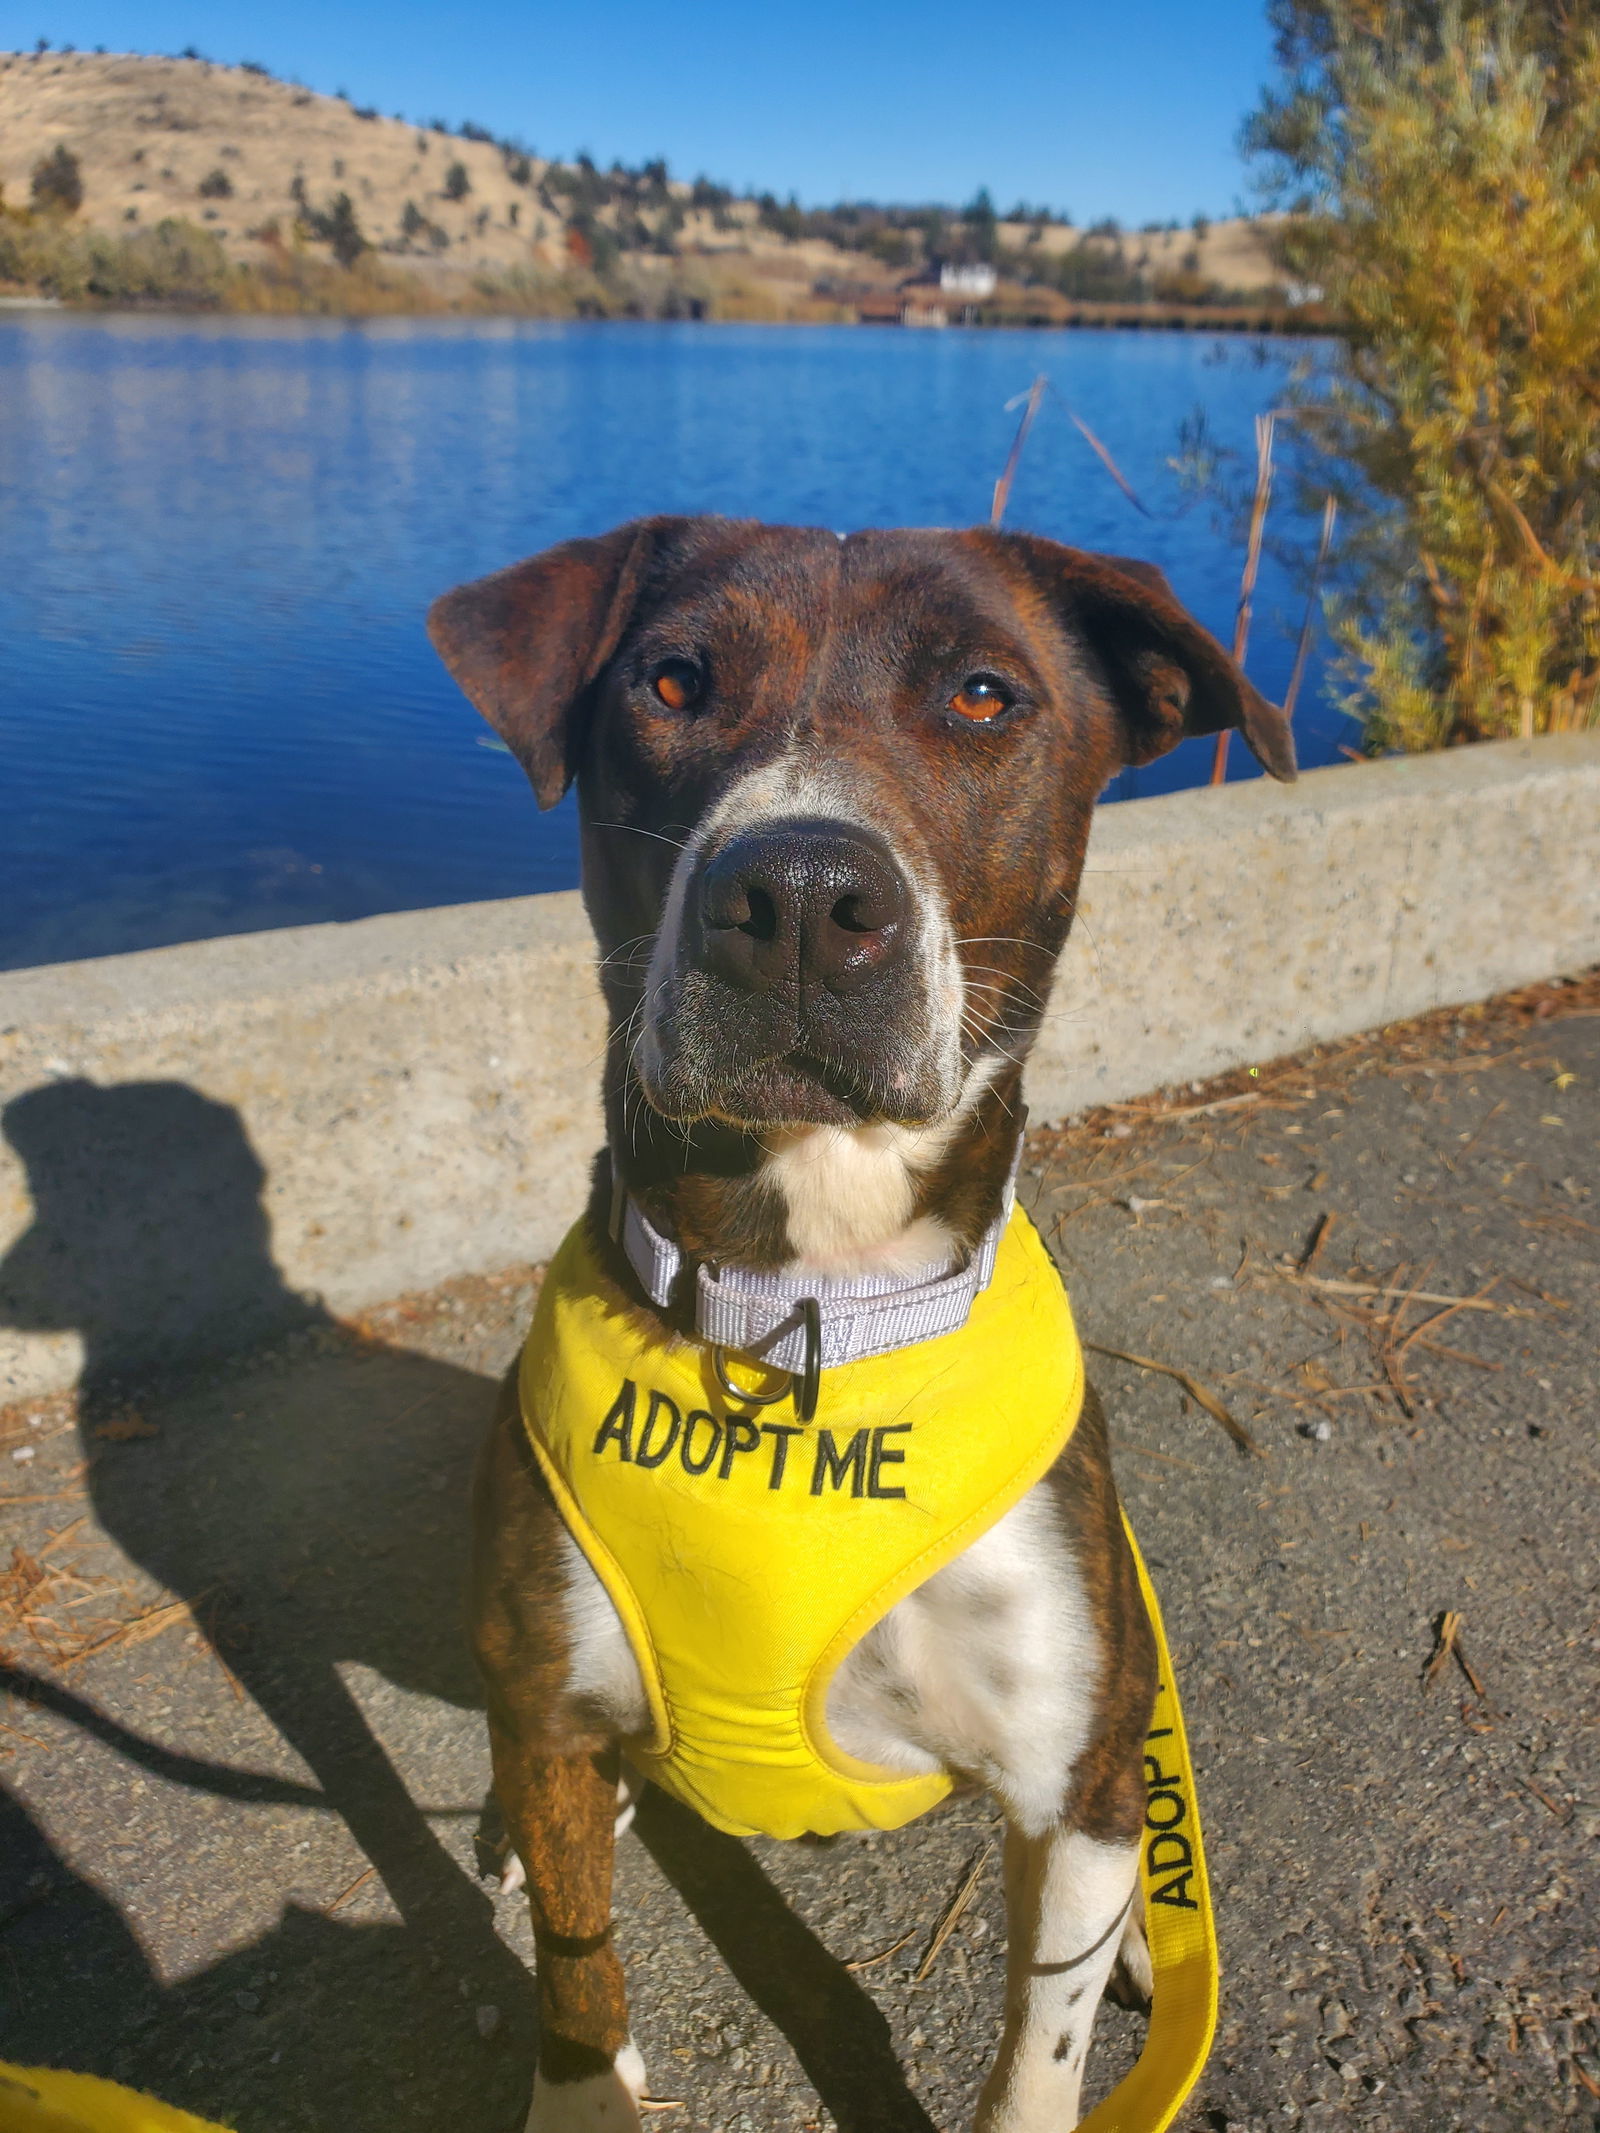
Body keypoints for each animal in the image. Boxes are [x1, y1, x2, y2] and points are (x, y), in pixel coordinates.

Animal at [428, 520, 1305, 2133]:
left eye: (982, 695)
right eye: (672, 679)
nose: (796, 898)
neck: (804, 1314)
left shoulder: (1067, 1769)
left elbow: (1038, 2053)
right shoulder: (555, 1702)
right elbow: (579, 1972)